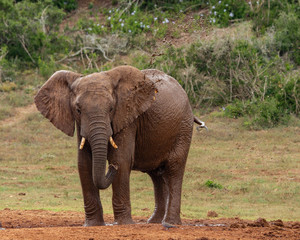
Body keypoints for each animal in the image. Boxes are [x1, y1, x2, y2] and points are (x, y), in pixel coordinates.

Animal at [34, 64, 205, 226]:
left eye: (111, 108)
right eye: (78, 110)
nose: (111, 168)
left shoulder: (127, 118)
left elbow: (121, 160)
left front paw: (123, 223)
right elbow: (84, 163)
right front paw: (93, 225)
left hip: (183, 127)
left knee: (174, 169)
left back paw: (170, 223)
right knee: (156, 175)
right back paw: (154, 222)